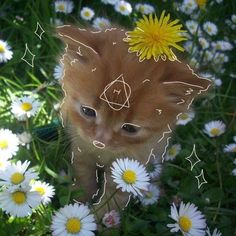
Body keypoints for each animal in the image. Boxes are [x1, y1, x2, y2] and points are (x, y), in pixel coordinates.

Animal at [56, 26, 210, 221]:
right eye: (88, 111)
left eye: (129, 128)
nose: (100, 140)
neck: (103, 153)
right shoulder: (80, 148)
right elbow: (83, 176)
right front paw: (79, 203)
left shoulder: (136, 162)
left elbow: (115, 198)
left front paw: (99, 220)